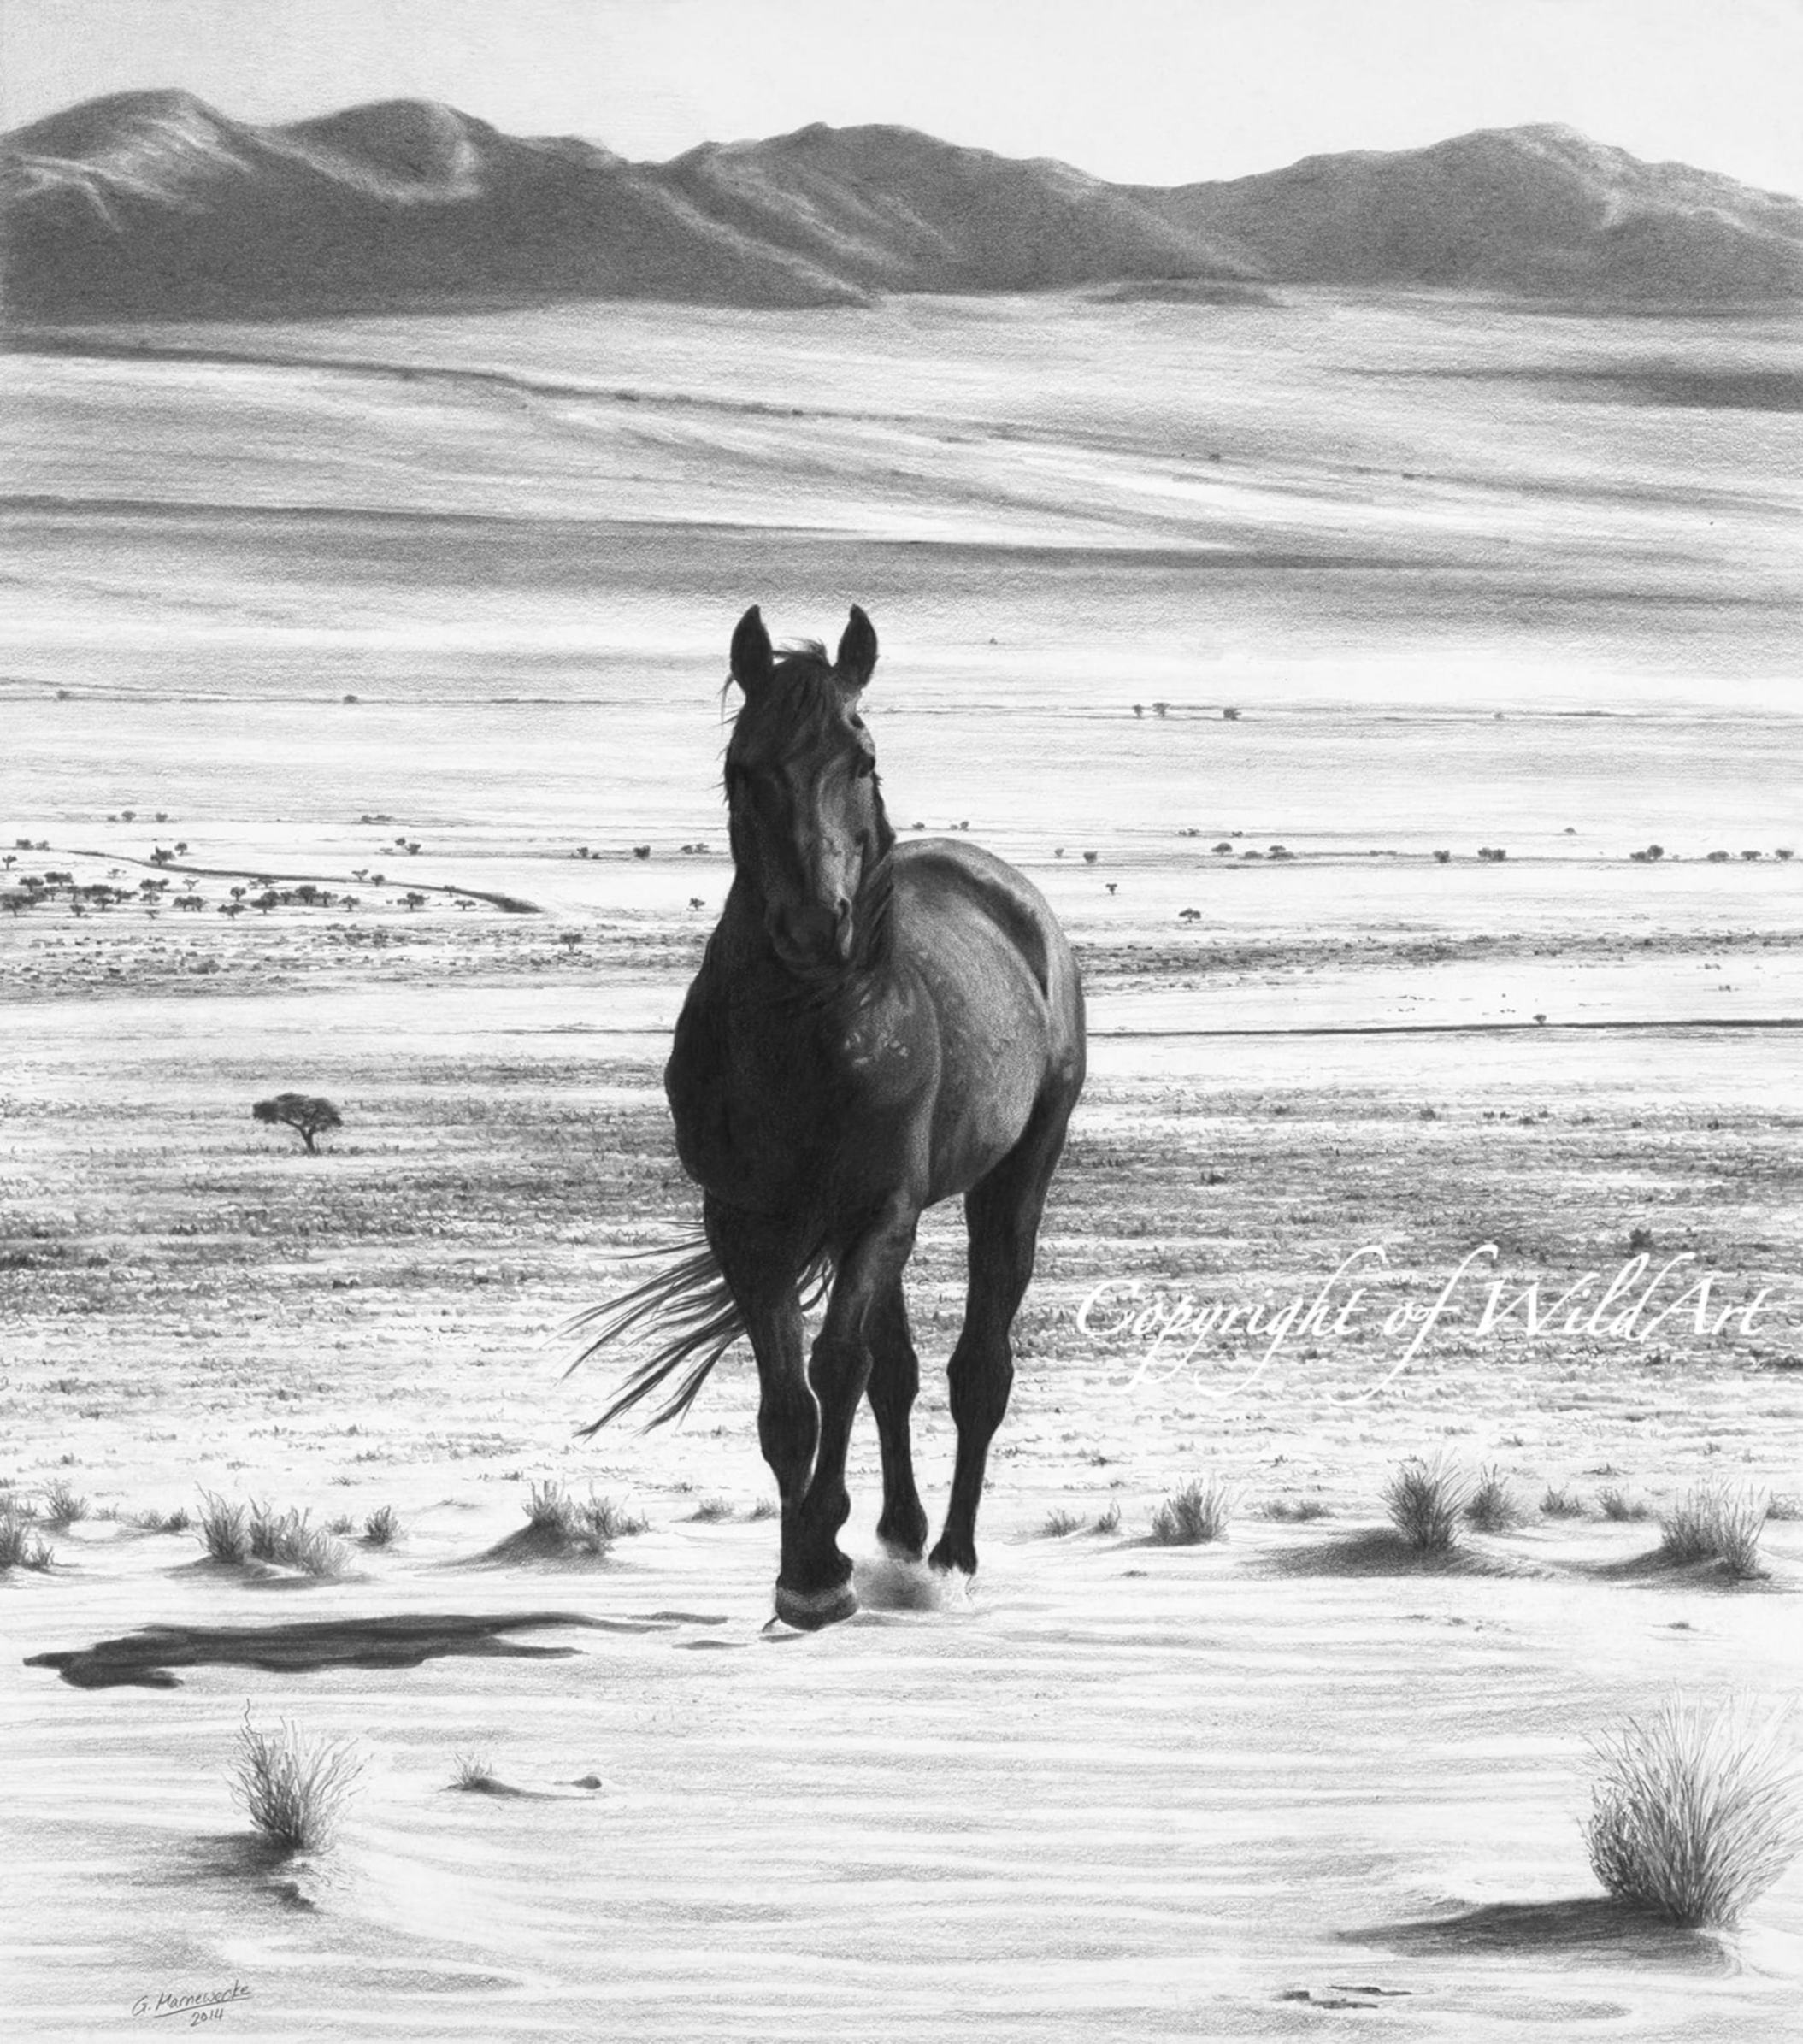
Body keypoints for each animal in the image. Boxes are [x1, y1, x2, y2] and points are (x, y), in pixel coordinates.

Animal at [572, 605, 1085, 1629]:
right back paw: (899, 1533)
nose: (818, 924)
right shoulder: (745, 1224)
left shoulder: (878, 1211)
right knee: (901, 1371)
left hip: (1011, 1180)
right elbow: (790, 1403)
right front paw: (805, 1566)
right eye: (745, 767)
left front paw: (820, 1568)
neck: (816, 1037)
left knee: (978, 1370)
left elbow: (836, 1368)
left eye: (862, 757)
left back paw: (951, 1558)